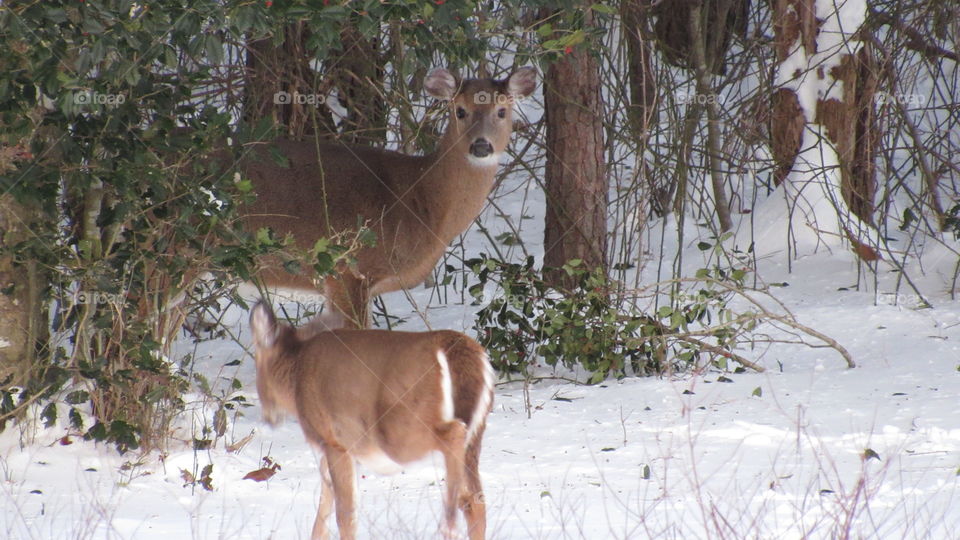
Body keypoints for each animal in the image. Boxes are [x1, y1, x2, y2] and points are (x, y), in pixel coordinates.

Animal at [248, 301, 495, 540]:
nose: (269, 418)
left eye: (257, 363)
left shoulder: (334, 441)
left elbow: (345, 515)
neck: (296, 373)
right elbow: (324, 510)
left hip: (398, 431)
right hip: (475, 433)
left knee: (454, 436)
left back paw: (448, 524)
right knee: (475, 499)